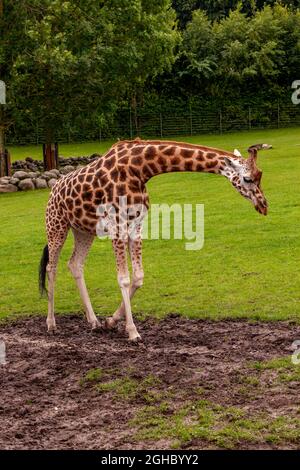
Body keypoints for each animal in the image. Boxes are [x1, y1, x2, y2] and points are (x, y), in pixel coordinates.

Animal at [38, 139, 270, 342]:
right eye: (248, 178)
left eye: (260, 176)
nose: (264, 206)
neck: (140, 169)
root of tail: (53, 188)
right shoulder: (117, 224)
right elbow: (123, 278)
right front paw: (132, 332)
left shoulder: (136, 224)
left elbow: (138, 277)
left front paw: (110, 322)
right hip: (56, 225)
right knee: (51, 267)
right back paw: (51, 324)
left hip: (84, 230)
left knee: (75, 264)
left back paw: (93, 321)